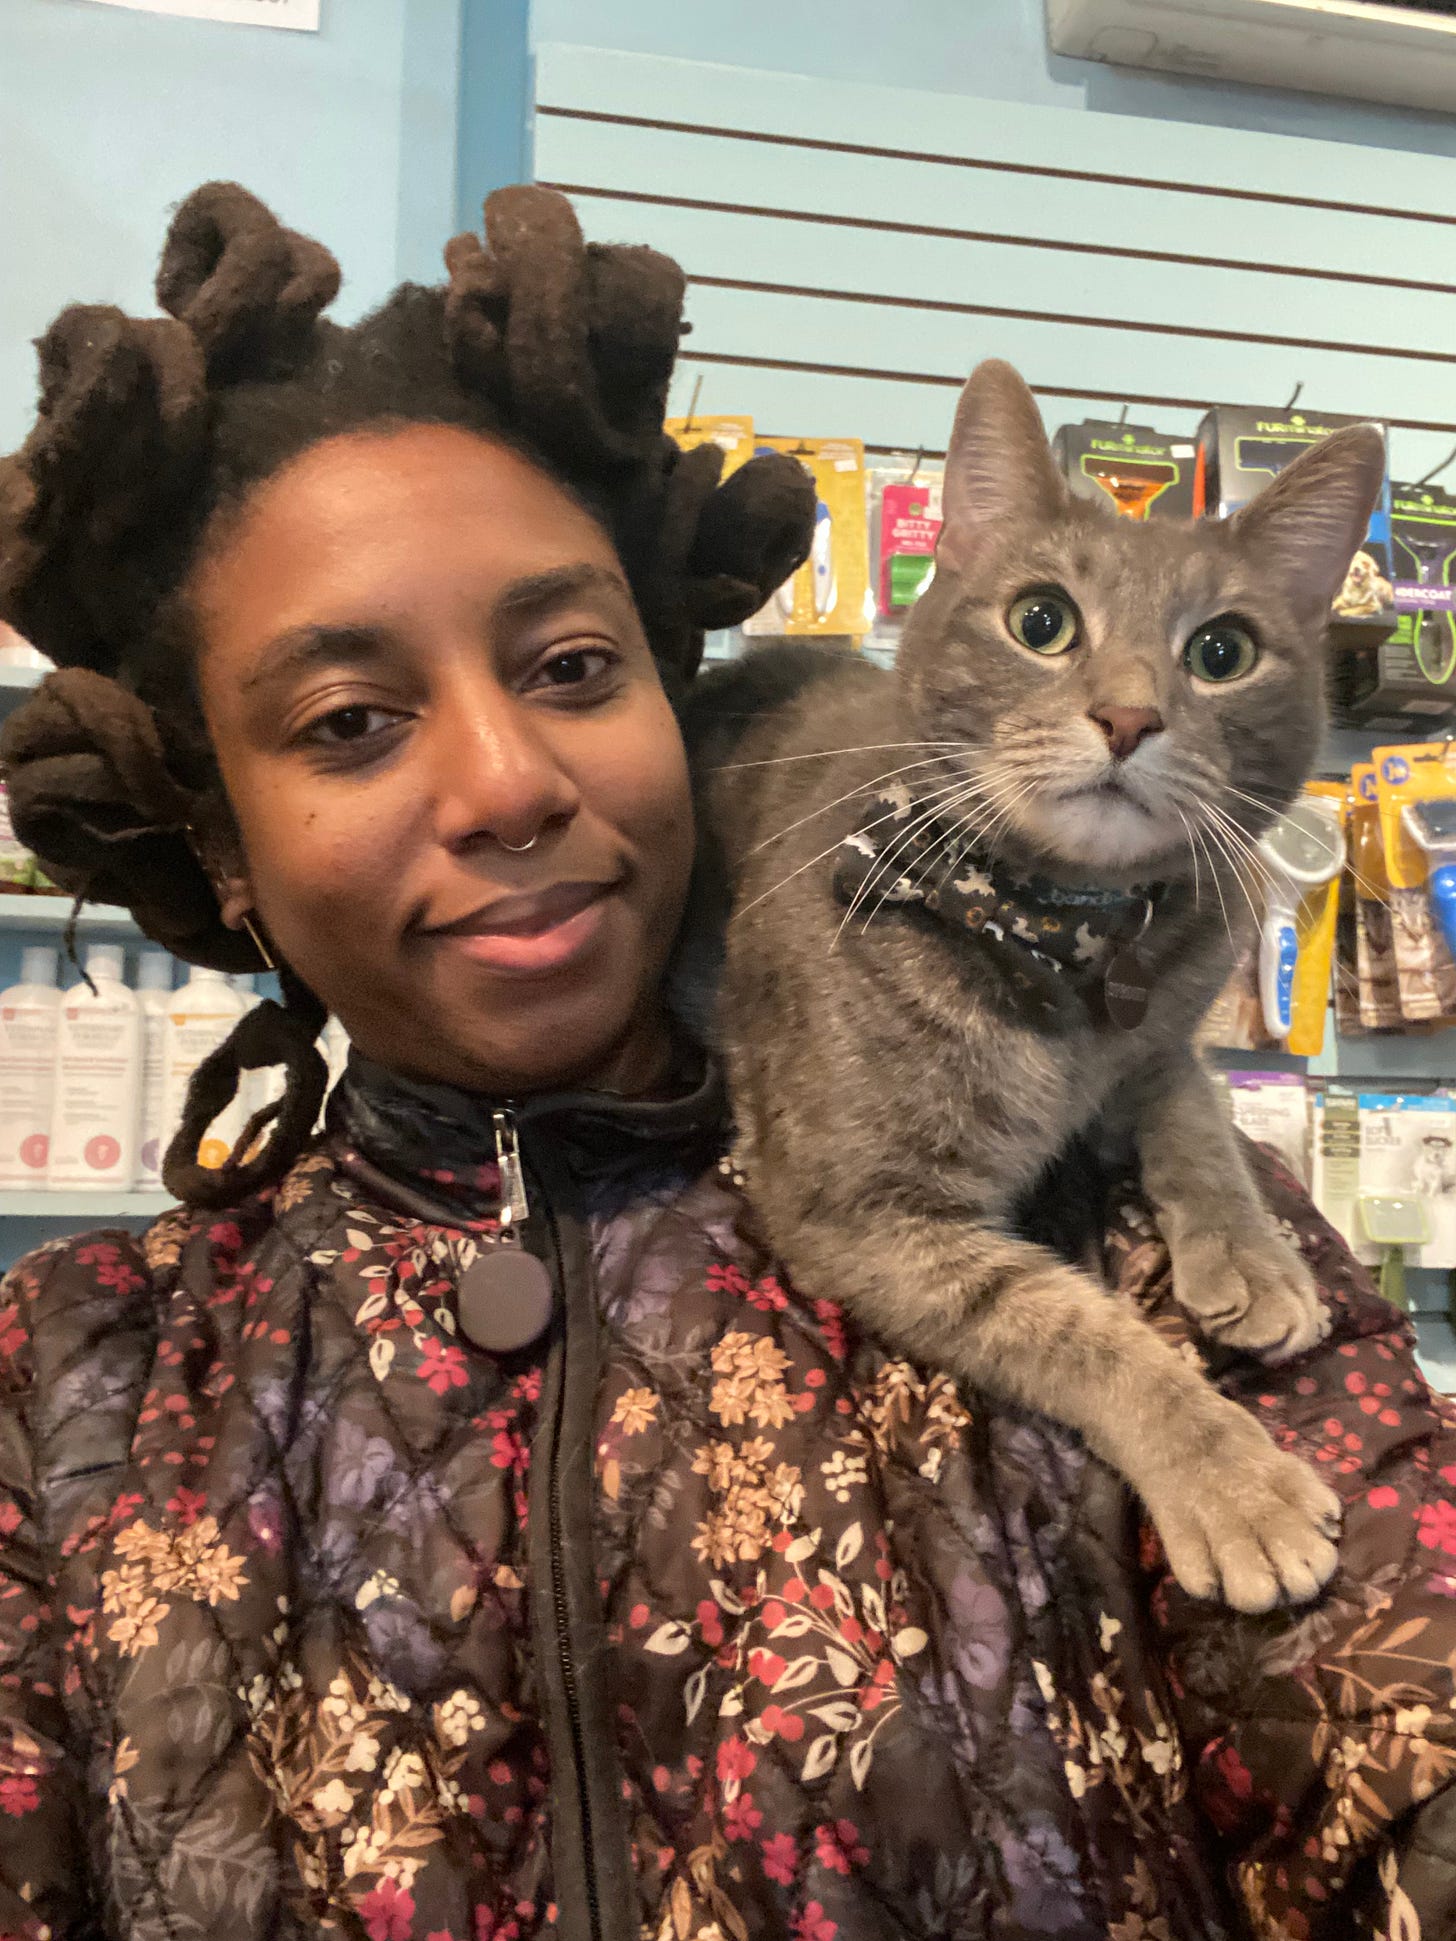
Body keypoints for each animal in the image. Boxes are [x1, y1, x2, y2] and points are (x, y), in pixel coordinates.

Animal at [691, 361, 1389, 1607]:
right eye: (1040, 622)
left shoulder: (1162, 1035)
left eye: (1222, 652)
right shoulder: (858, 1209)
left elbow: (1198, 1113)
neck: (1066, 933)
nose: (1127, 715)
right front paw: (1233, 1480)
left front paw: (1256, 1259)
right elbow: (1074, 1327)